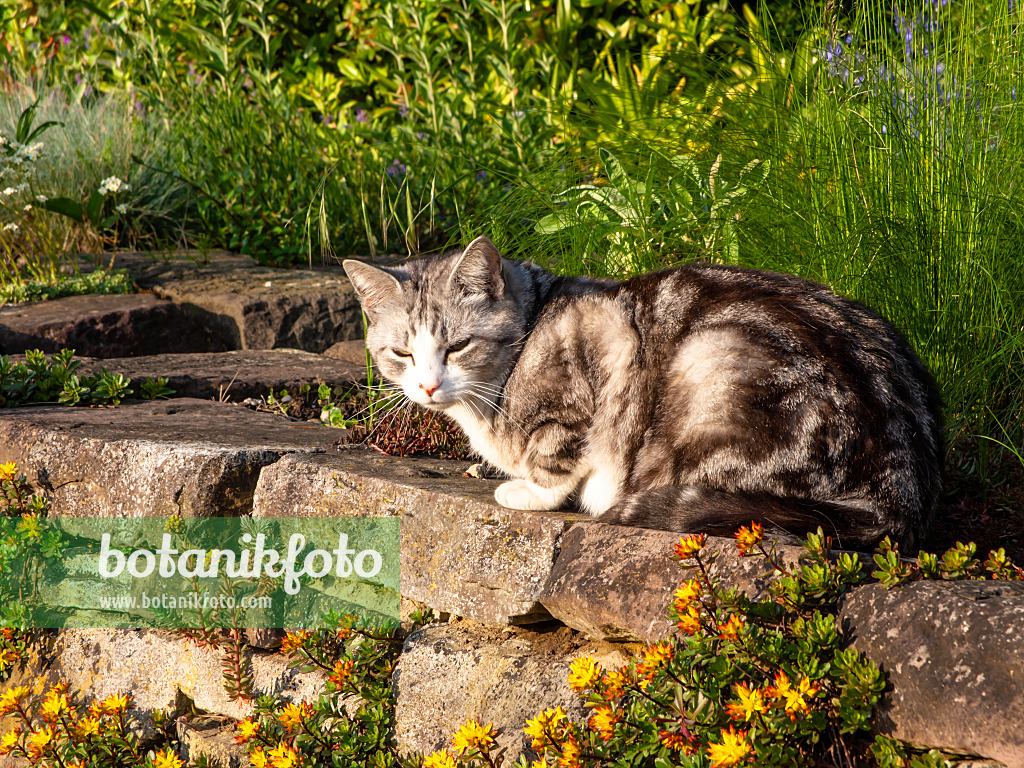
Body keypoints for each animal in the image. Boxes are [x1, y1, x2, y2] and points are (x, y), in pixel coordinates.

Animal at [346, 237, 942, 548]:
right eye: (401, 353)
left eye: (459, 345)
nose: (427, 386)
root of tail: (902, 496)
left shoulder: (598, 360)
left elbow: (557, 454)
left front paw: (528, 490)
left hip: (712, 361)